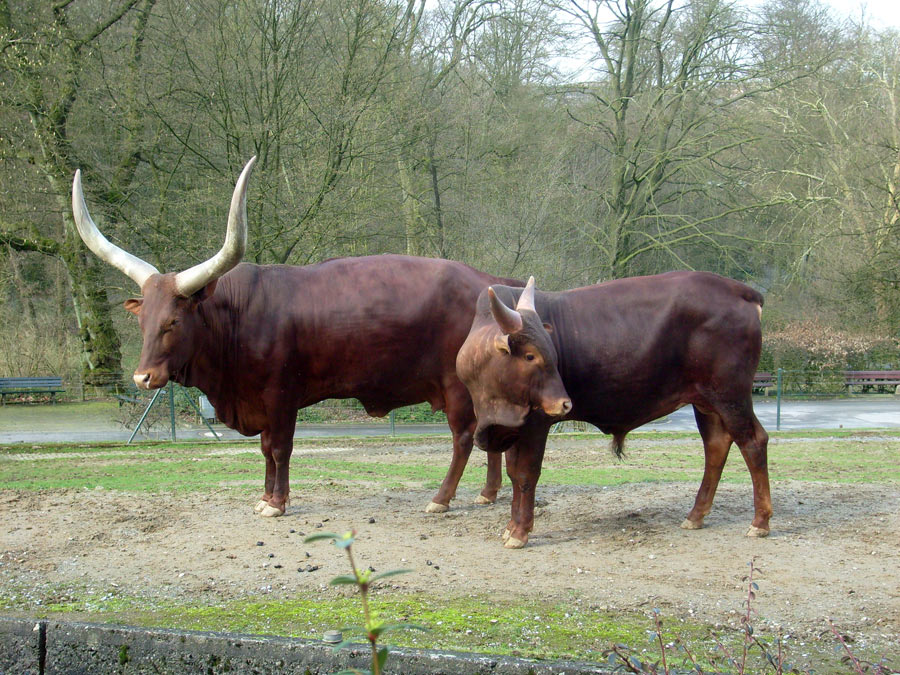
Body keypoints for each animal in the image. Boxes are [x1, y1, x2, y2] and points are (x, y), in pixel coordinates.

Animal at [74, 158, 524, 516]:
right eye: (143, 321)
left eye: (173, 322)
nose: (142, 378)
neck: (239, 315)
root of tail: (490, 284)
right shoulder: (259, 400)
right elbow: (264, 450)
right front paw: (265, 497)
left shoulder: (280, 396)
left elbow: (279, 447)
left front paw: (276, 503)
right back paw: (487, 493)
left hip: (456, 387)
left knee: (463, 438)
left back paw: (441, 499)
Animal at [458, 274, 772, 548]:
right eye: (530, 355)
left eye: (553, 354)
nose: (565, 403)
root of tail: (742, 291)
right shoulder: (514, 426)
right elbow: (513, 473)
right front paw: (511, 526)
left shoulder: (536, 423)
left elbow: (525, 475)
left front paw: (520, 531)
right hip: (707, 403)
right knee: (716, 446)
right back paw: (696, 515)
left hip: (731, 396)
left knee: (753, 443)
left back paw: (760, 521)